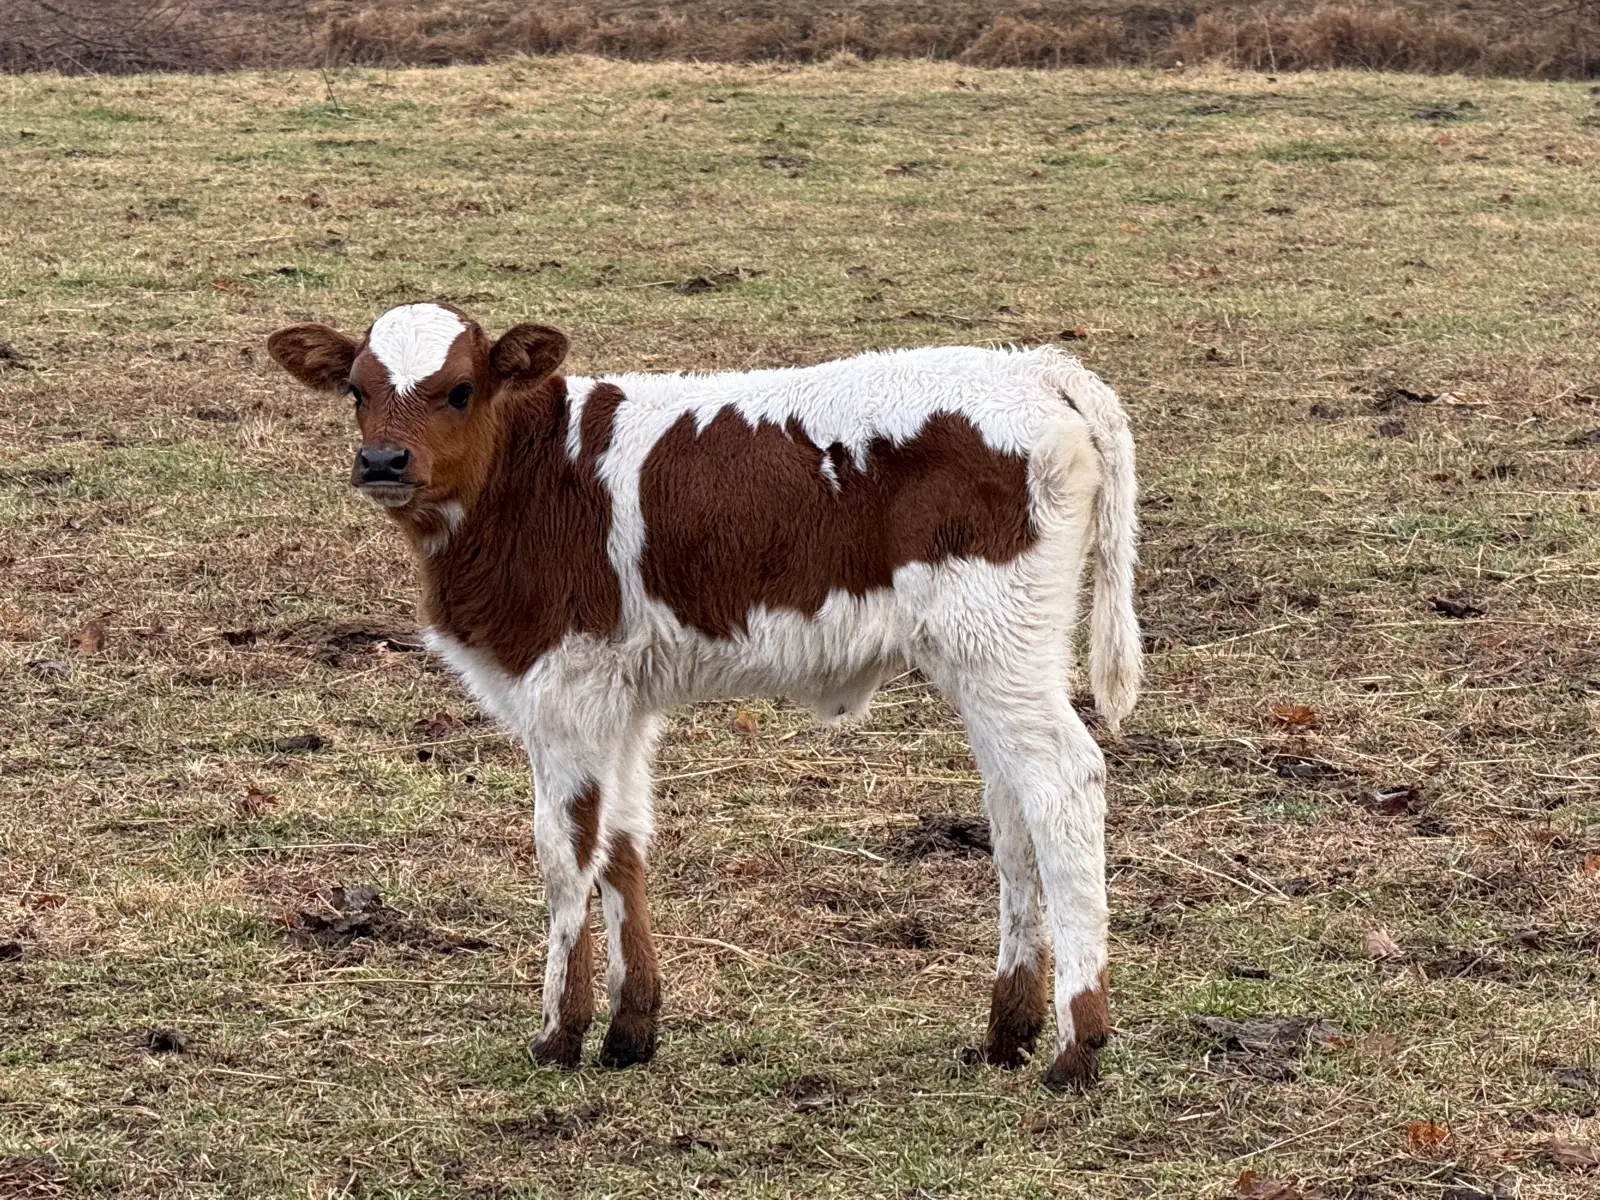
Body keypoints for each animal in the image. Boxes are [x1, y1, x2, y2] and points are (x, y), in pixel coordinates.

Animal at [267, 301, 1140, 1090]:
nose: (383, 461)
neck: (531, 474)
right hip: (990, 658)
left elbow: (564, 853)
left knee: (1063, 782)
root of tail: (1035, 368)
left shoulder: (564, 689)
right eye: (355, 389)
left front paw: (560, 1033)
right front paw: (629, 1031)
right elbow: (623, 846)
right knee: (1011, 806)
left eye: (459, 390)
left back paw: (1076, 1048)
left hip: (996, 645)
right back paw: (1007, 1032)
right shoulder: (620, 702)